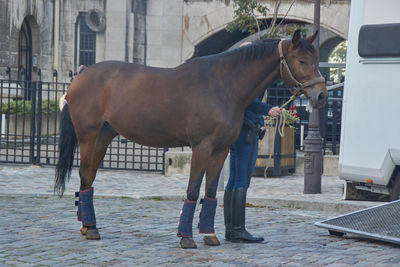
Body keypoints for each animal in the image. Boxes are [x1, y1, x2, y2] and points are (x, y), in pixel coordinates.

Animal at [54, 30, 326, 250]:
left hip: (103, 136)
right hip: (88, 136)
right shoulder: (202, 147)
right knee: (85, 175)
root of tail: (81, 76)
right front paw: (186, 238)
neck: (223, 84)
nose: (321, 95)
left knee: (88, 178)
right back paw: (91, 228)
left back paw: (87, 226)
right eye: (302, 61)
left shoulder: (221, 150)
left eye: (316, 60)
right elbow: (194, 189)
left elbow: (211, 190)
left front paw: (209, 234)